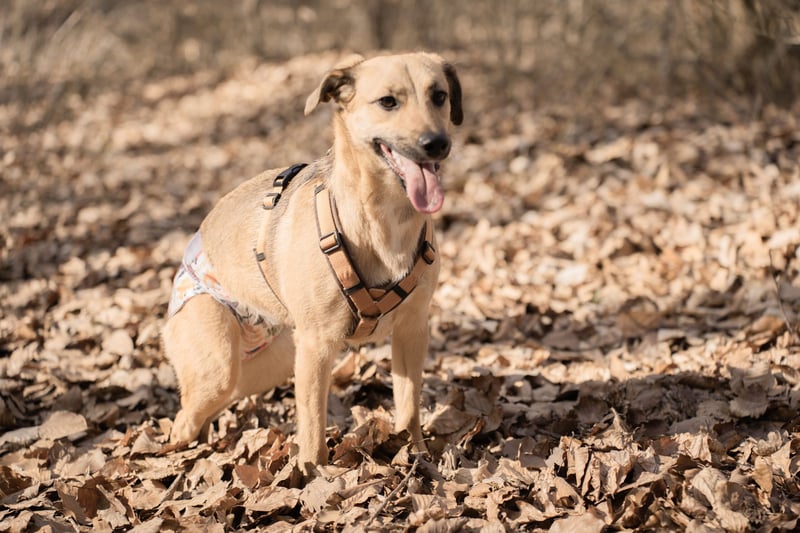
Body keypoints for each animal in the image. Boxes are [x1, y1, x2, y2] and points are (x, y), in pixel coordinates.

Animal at [163, 52, 462, 473]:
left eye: (439, 96)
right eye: (388, 102)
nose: (436, 144)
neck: (384, 218)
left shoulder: (412, 331)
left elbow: (408, 407)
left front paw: (415, 457)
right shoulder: (317, 348)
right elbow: (313, 428)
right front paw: (313, 474)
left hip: (263, 367)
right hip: (219, 366)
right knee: (184, 416)